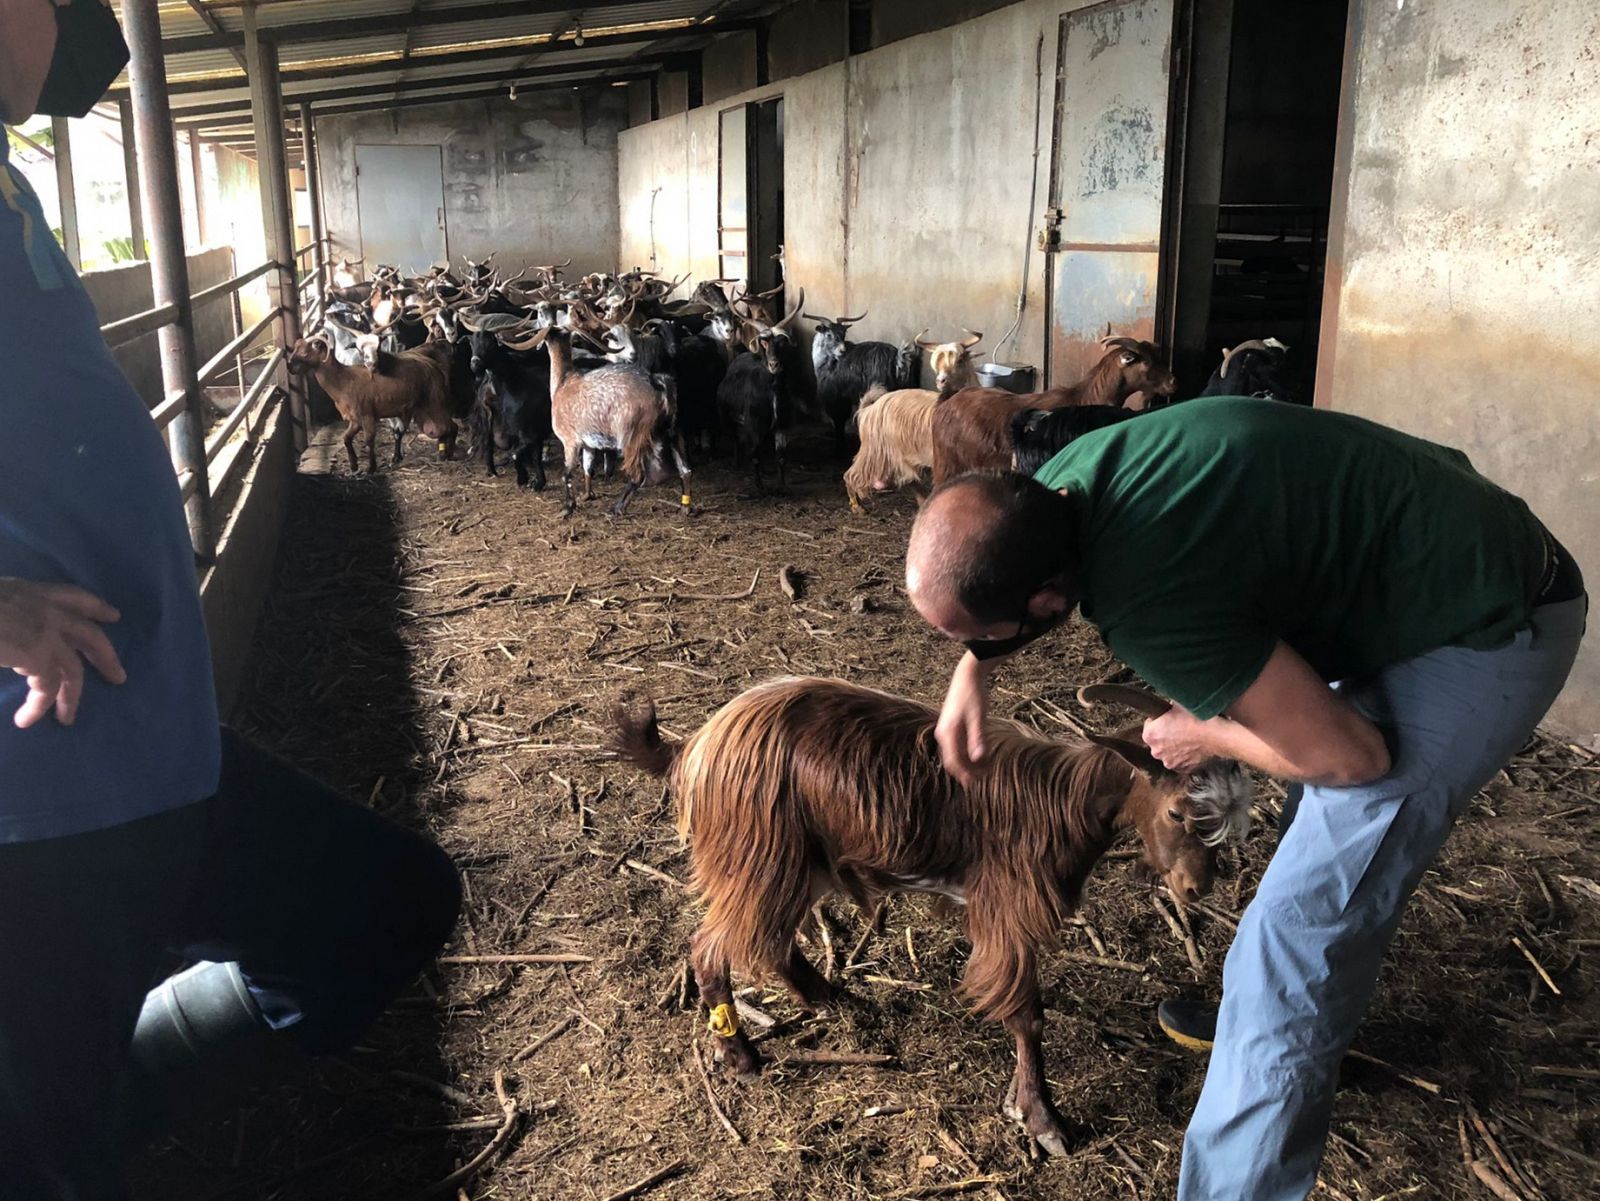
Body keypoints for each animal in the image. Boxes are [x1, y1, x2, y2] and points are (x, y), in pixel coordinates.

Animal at [284, 335, 451, 476]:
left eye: (305, 353)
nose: (289, 367)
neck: (343, 380)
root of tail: (432, 364)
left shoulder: (367, 416)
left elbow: (369, 440)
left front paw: (371, 468)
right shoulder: (355, 419)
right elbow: (346, 438)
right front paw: (353, 466)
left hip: (434, 402)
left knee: (449, 426)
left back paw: (445, 455)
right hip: (418, 409)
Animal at [611, 678, 1248, 1157]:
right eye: (1176, 811)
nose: (1197, 887)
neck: (1060, 802)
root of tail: (696, 745)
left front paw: (1023, 1105)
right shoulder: (1008, 910)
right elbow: (1028, 1017)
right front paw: (1043, 1119)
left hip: (799, 858)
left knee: (772, 942)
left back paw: (837, 1000)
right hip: (759, 852)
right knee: (712, 945)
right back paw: (740, 1056)